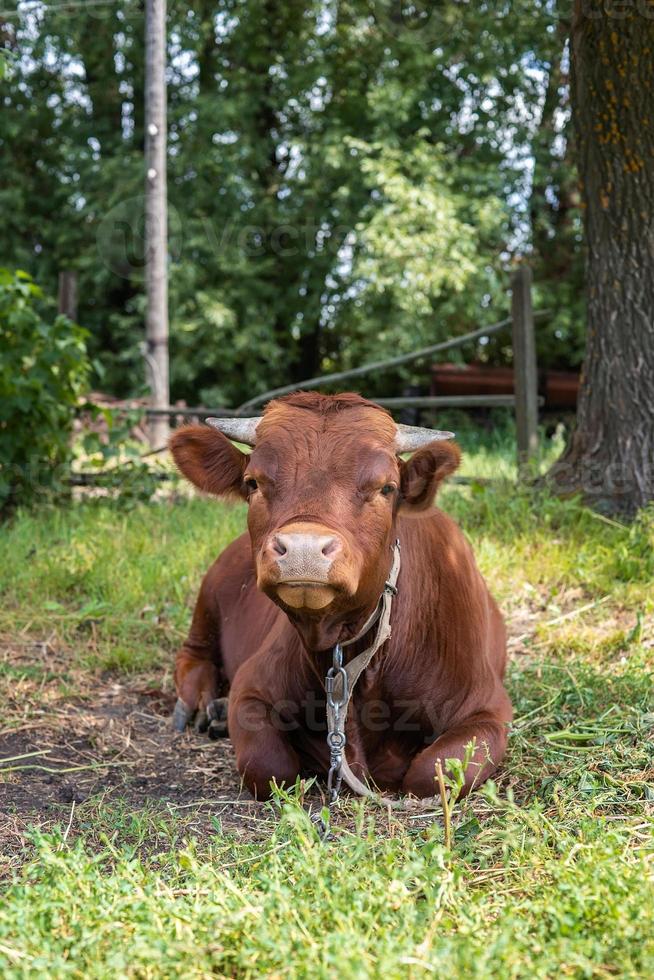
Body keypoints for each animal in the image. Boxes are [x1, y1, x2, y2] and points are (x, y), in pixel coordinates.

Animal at [168, 394, 512, 800]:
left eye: (386, 487)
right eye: (253, 483)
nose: (303, 549)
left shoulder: (487, 710)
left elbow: (430, 774)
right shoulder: (251, 686)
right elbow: (268, 766)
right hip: (207, 597)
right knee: (193, 653)